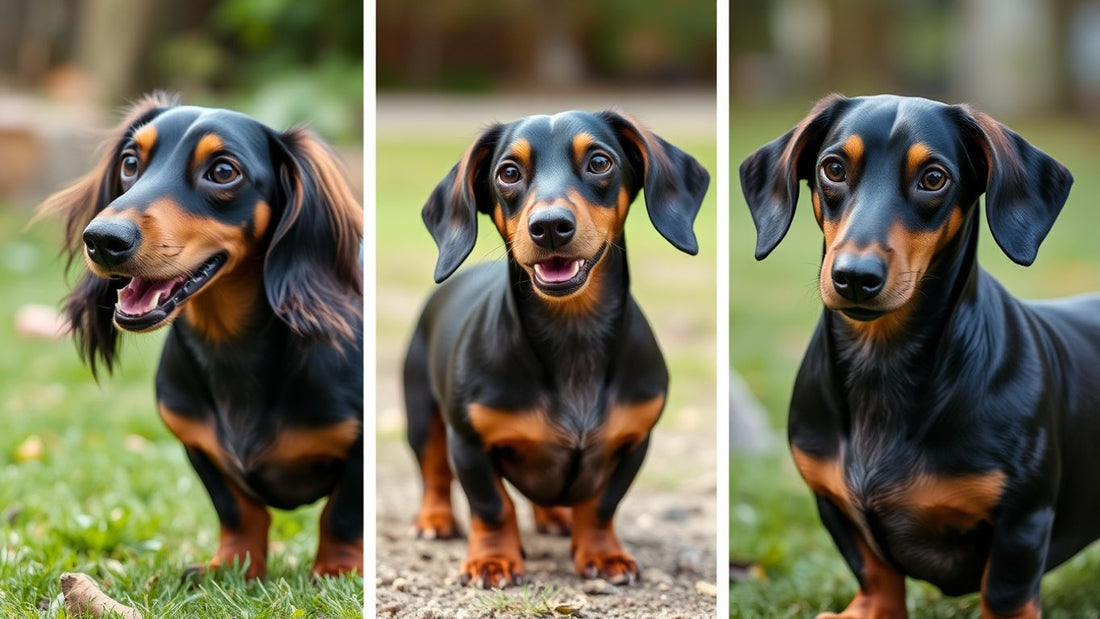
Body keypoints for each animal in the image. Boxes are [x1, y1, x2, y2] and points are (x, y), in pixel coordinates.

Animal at [39, 93, 365, 580]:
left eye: (224, 171)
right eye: (130, 162)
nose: (101, 240)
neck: (232, 348)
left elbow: (342, 515)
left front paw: (336, 571)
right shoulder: (197, 444)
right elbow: (238, 511)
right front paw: (233, 566)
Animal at [402, 111, 704, 589]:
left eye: (599, 162)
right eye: (508, 172)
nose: (548, 227)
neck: (572, 334)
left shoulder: (636, 440)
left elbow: (601, 505)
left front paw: (603, 554)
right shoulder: (468, 442)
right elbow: (492, 506)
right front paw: (492, 560)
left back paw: (555, 517)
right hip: (421, 416)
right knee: (433, 471)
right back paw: (435, 519)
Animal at [739, 94, 1100, 615]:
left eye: (933, 178)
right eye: (833, 168)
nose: (855, 277)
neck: (883, 362)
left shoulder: (1023, 521)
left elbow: (1005, 593)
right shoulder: (832, 503)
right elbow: (875, 570)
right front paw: (870, 610)